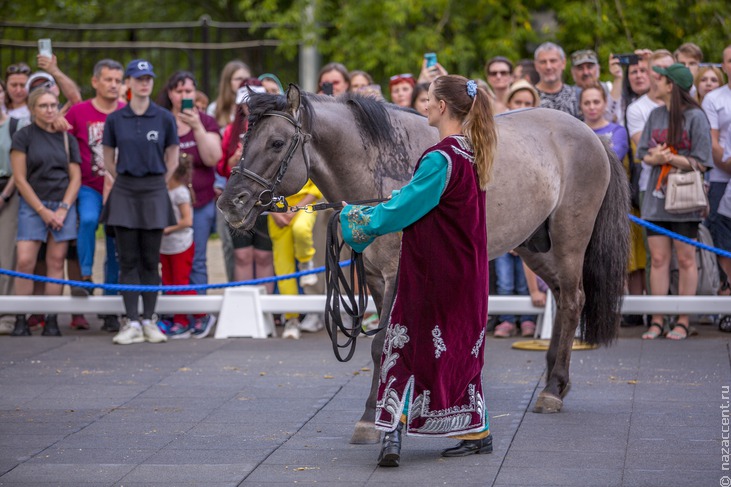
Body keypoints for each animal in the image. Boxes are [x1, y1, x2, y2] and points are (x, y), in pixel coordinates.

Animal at [217, 85, 628, 446]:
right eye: (244, 139)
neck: (380, 167)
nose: (230, 203)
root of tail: (591, 135)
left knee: (573, 300)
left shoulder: (396, 273)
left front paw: (371, 417)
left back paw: (553, 390)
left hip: (570, 240)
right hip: (534, 245)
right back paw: (554, 379)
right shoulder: (375, 278)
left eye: (276, 142)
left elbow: (381, 343)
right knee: (559, 297)